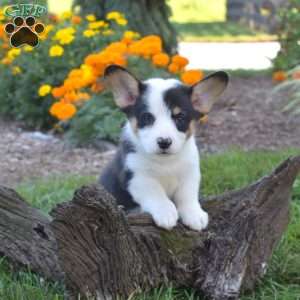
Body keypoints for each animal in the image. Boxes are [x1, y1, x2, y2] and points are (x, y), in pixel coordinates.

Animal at [99, 64, 229, 231]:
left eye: (180, 117)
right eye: (147, 117)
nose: (164, 142)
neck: (166, 162)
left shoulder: (190, 174)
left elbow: (187, 195)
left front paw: (194, 215)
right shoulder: (137, 177)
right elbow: (156, 193)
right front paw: (166, 213)